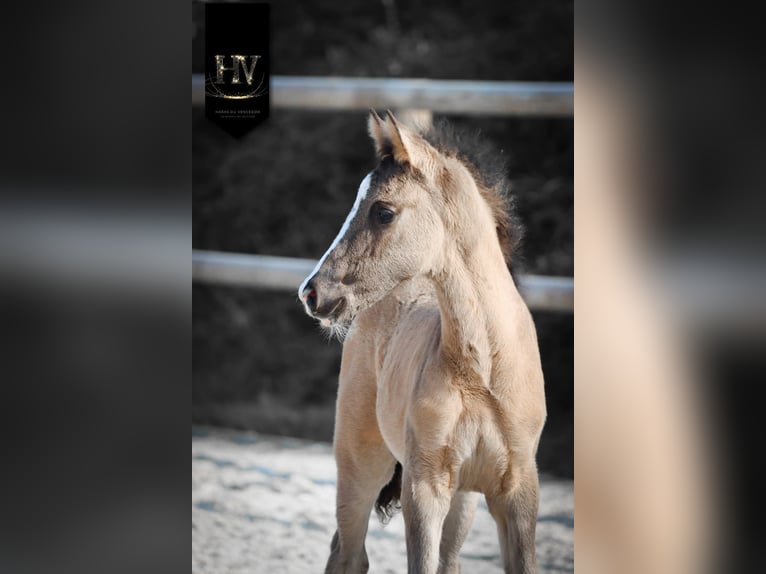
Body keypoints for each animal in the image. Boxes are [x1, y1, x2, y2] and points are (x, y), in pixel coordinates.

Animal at [298, 110, 547, 574]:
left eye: (383, 212)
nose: (312, 293)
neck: (482, 371)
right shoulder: (424, 486)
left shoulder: (518, 490)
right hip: (360, 466)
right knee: (348, 554)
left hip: (464, 499)